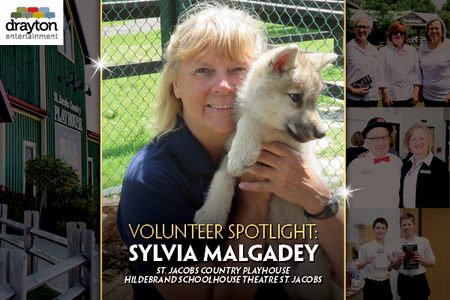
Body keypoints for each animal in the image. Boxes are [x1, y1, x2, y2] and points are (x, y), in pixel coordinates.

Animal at [195, 45, 340, 300]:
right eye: (296, 97)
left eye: (315, 101)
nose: (321, 133)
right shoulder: (225, 157)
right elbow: (221, 178)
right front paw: (210, 217)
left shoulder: (290, 145)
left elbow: (252, 121)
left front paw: (243, 151)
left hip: (310, 273)